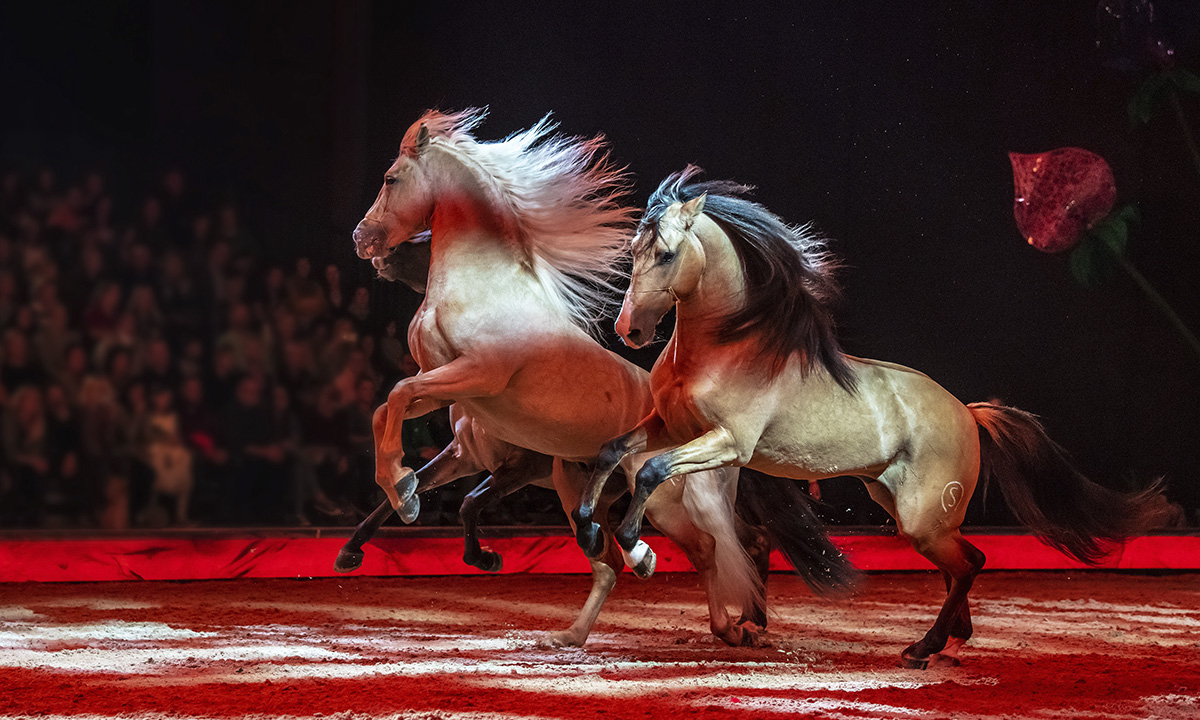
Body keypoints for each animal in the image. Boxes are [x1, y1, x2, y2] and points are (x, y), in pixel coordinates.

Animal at [350, 110, 852, 646]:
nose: (364, 241)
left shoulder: (477, 378)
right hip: (596, 487)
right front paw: (397, 499)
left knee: (707, 548)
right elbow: (389, 411)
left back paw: (721, 619)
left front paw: (403, 493)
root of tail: (710, 422)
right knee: (672, 549)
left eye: (390, 178)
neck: (485, 288)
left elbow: (400, 398)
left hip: (668, 499)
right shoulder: (448, 398)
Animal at [575, 166, 1174, 667]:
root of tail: (967, 412)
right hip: (908, 509)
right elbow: (611, 451)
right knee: (964, 562)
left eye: (667, 254)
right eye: (633, 249)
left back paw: (923, 648)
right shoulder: (669, 426)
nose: (630, 329)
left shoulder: (726, 442)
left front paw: (638, 550)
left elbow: (653, 472)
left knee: (971, 563)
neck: (724, 347)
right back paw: (952, 639)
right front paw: (589, 531)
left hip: (921, 517)